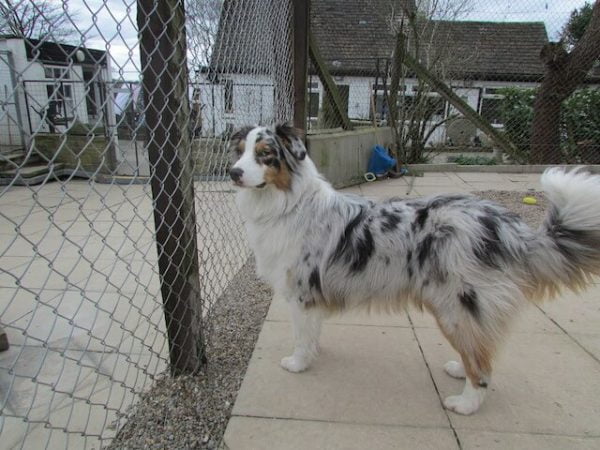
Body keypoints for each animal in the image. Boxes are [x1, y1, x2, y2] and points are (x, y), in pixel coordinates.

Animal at [229, 122, 600, 414]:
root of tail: (507, 226)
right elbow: (313, 332)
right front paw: (312, 354)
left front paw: (298, 363)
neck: (288, 204)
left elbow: (301, 335)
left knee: (482, 367)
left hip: (456, 306)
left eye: (265, 153)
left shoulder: (303, 292)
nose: (233, 172)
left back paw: (465, 404)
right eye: (239, 152)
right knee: (478, 351)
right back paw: (459, 370)